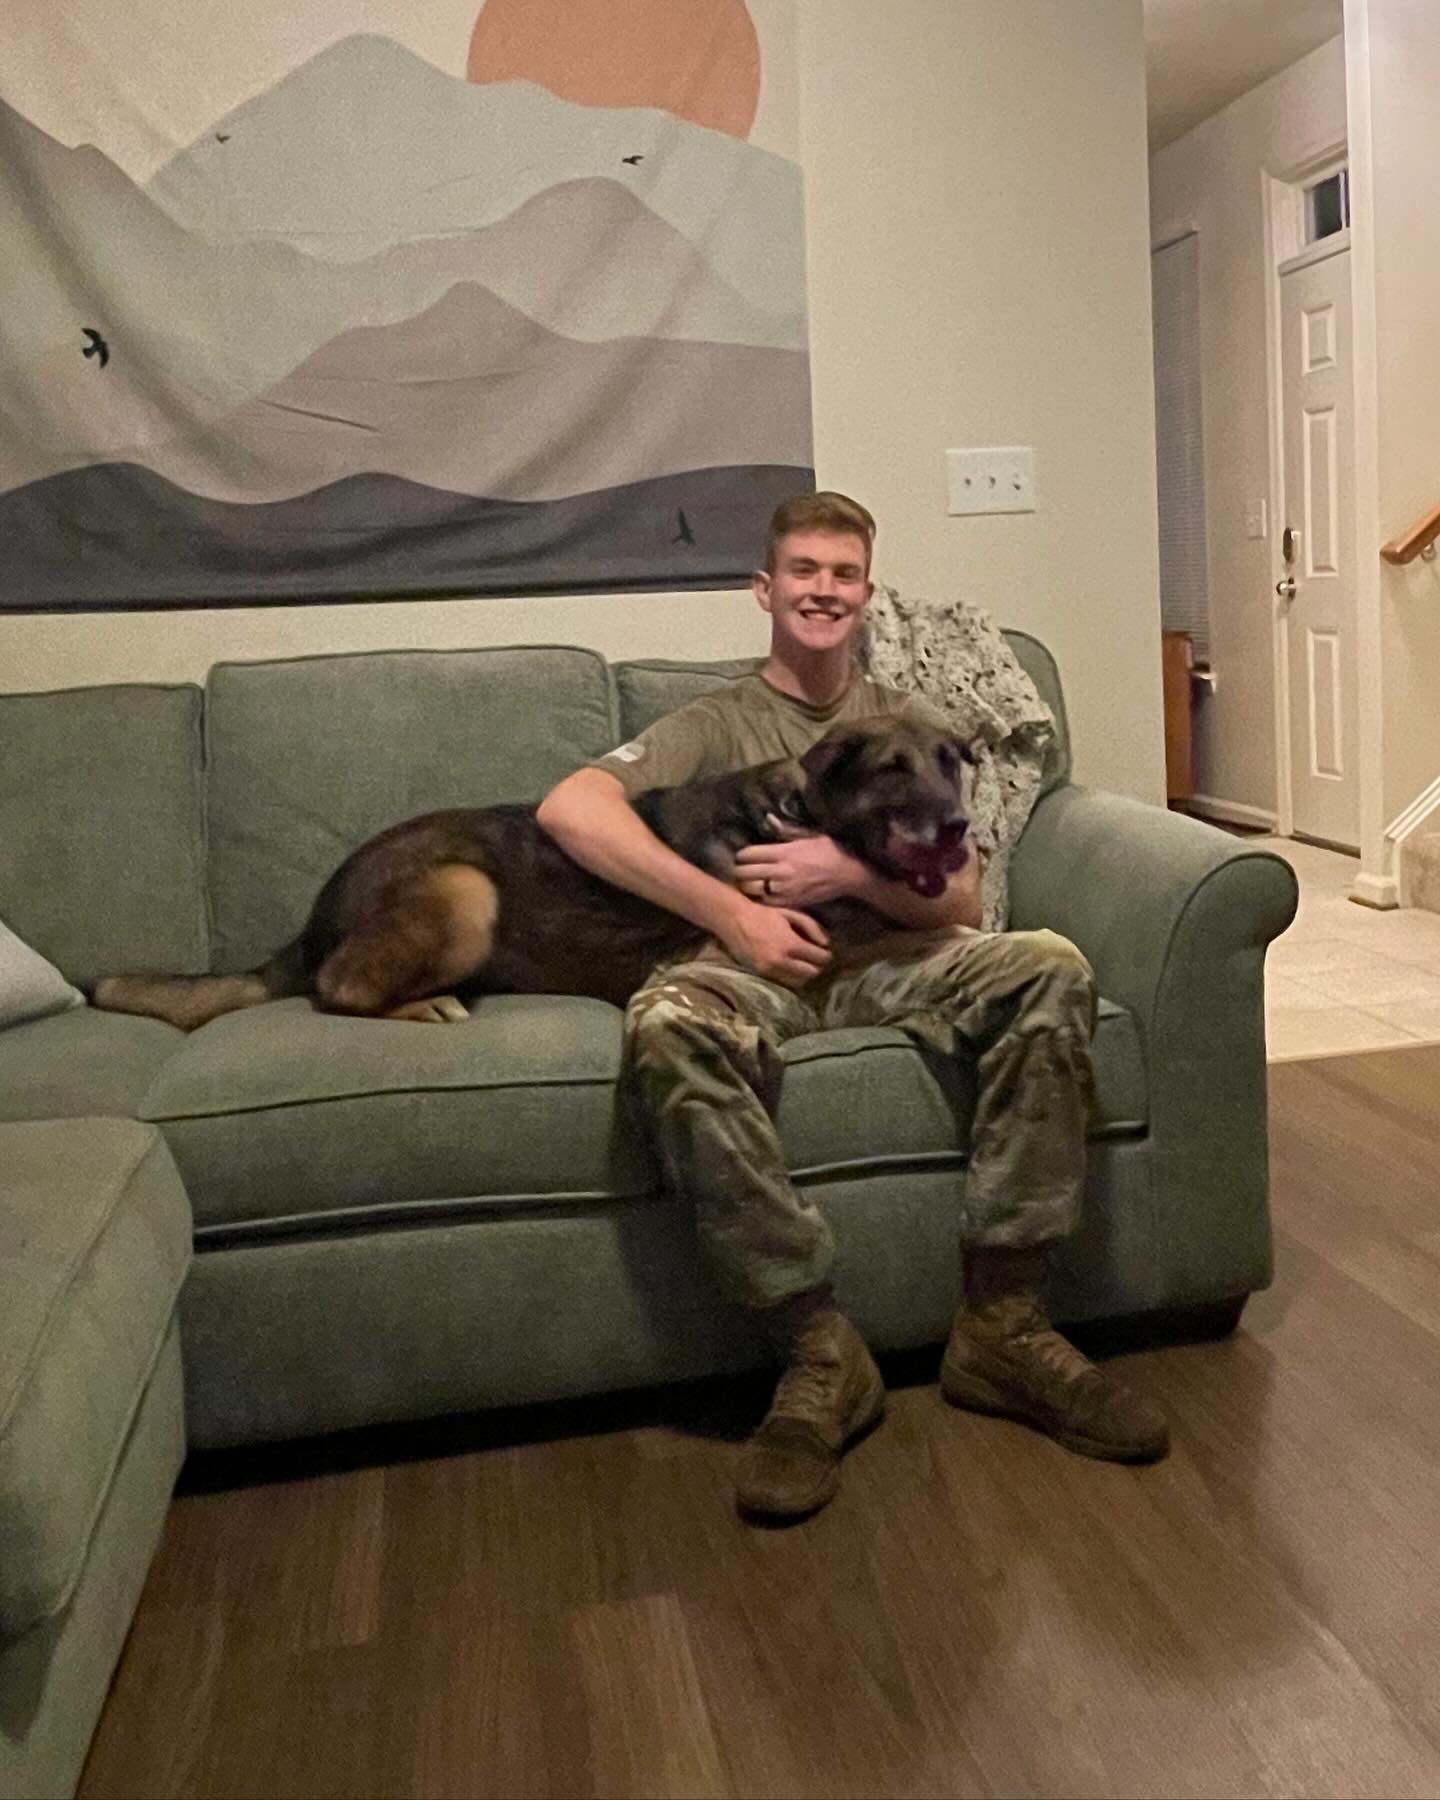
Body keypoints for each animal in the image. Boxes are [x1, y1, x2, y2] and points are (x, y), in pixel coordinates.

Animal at [91, 714, 972, 1029]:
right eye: (894, 772)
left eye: (949, 765)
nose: (961, 830)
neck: (803, 817)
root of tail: (308, 927)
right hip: (464, 890)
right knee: (336, 989)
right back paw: (423, 1005)